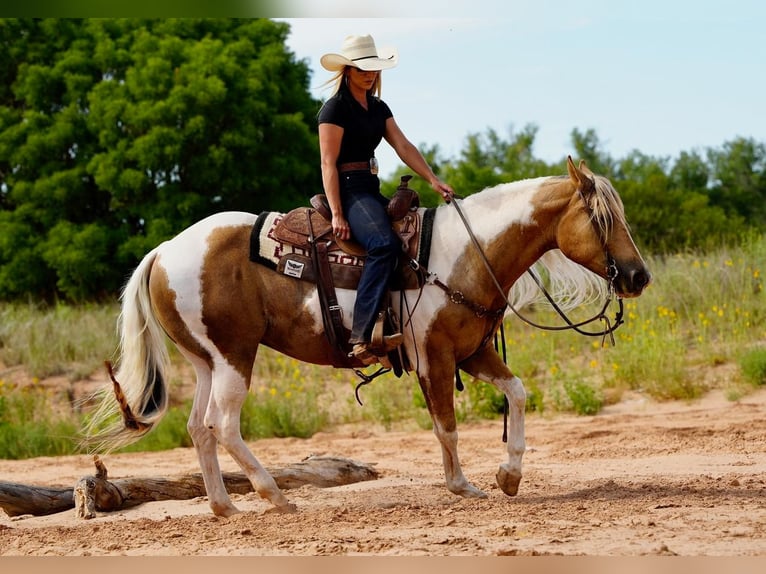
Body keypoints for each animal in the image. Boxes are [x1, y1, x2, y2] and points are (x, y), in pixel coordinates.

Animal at [85, 156, 656, 516]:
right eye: (601, 218)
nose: (637, 276)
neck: (466, 254)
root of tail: (164, 249)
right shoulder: (435, 356)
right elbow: (446, 426)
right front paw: (462, 486)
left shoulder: (471, 352)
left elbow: (517, 394)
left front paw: (509, 475)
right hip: (233, 356)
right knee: (222, 425)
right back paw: (276, 497)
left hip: (207, 360)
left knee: (198, 428)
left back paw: (226, 507)